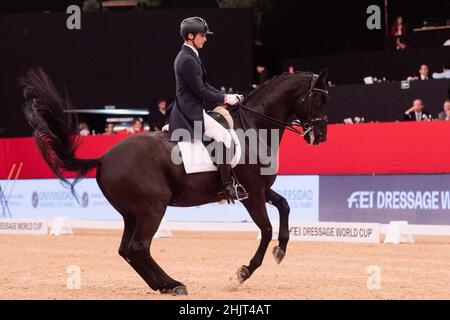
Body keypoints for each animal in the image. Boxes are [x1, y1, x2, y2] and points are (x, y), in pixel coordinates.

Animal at [21, 67, 328, 296]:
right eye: (319, 99)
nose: (320, 137)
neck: (253, 127)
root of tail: (104, 157)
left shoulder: (262, 190)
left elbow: (285, 207)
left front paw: (281, 250)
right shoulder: (252, 193)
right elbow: (265, 229)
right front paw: (243, 272)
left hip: (132, 213)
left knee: (128, 250)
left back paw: (165, 285)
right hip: (152, 209)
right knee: (139, 248)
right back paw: (173, 283)